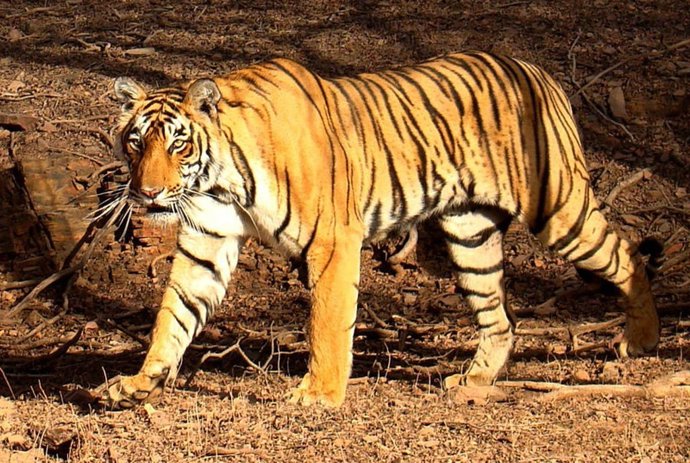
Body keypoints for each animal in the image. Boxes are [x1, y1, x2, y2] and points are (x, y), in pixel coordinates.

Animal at [103, 51, 660, 409]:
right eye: (136, 142)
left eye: (177, 144)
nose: (148, 193)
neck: (220, 181)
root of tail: (538, 71)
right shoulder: (207, 241)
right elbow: (173, 317)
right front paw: (139, 383)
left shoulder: (332, 241)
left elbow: (327, 323)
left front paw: (319, 396)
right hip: (471, 234)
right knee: (500, 319)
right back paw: (474, 380)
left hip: (558, 209)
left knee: (626, 255)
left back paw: (642, 340)